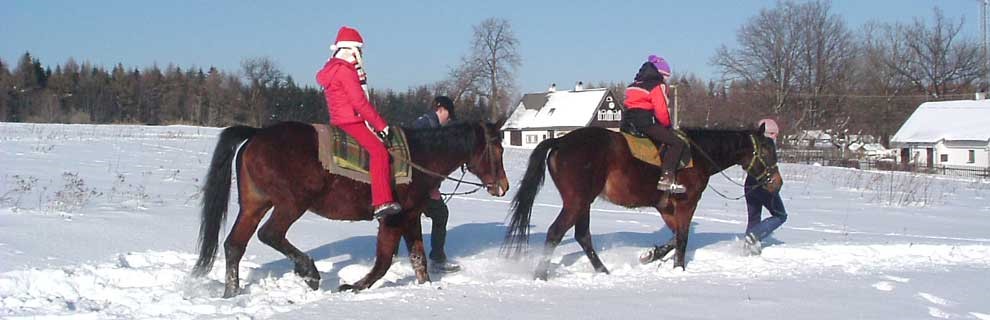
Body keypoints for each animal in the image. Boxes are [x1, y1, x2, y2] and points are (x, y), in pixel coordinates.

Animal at [192, 120, 512, 298]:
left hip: (254, 204)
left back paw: (231, 293)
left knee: (234, 245)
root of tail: (257, 134)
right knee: (270, 234)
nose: (504, 186)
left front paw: (426, 289)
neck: (420, 158)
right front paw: (352, 287)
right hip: (291, 204)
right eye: (498, 150)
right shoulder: (392, 218)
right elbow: (383, 262)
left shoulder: (410, 217)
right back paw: (309, 272)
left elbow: (419, 259)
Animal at [504, 125, 784, 280]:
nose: (777, 182)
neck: (698, 155)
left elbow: (674, 237)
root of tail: (560, 140)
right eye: (767, 151)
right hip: (577, 201)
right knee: (556, 232)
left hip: (582, 203)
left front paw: (652, 255)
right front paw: (679, 269)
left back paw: (604, 272)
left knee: (582, 236)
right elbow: (682, 238)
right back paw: (541, 275)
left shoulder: (666, 207)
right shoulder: (687, 203)